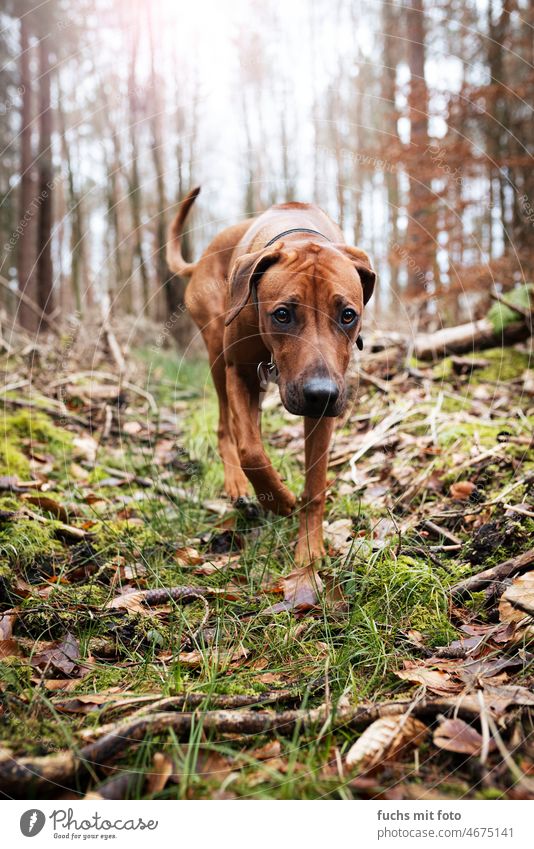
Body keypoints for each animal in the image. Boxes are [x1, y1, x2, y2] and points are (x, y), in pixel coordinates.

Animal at [168, 189, 376, 568]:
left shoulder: (325, 402)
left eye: (348, 315)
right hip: (216, 352)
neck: (299, 235)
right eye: (282, 314)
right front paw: (278, 499)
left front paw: (309, 552)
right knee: (227, 427)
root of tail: (202, 258)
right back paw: (238, 485)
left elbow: (315, 485)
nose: (320, 394)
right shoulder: (240, 372)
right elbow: (250, 451)